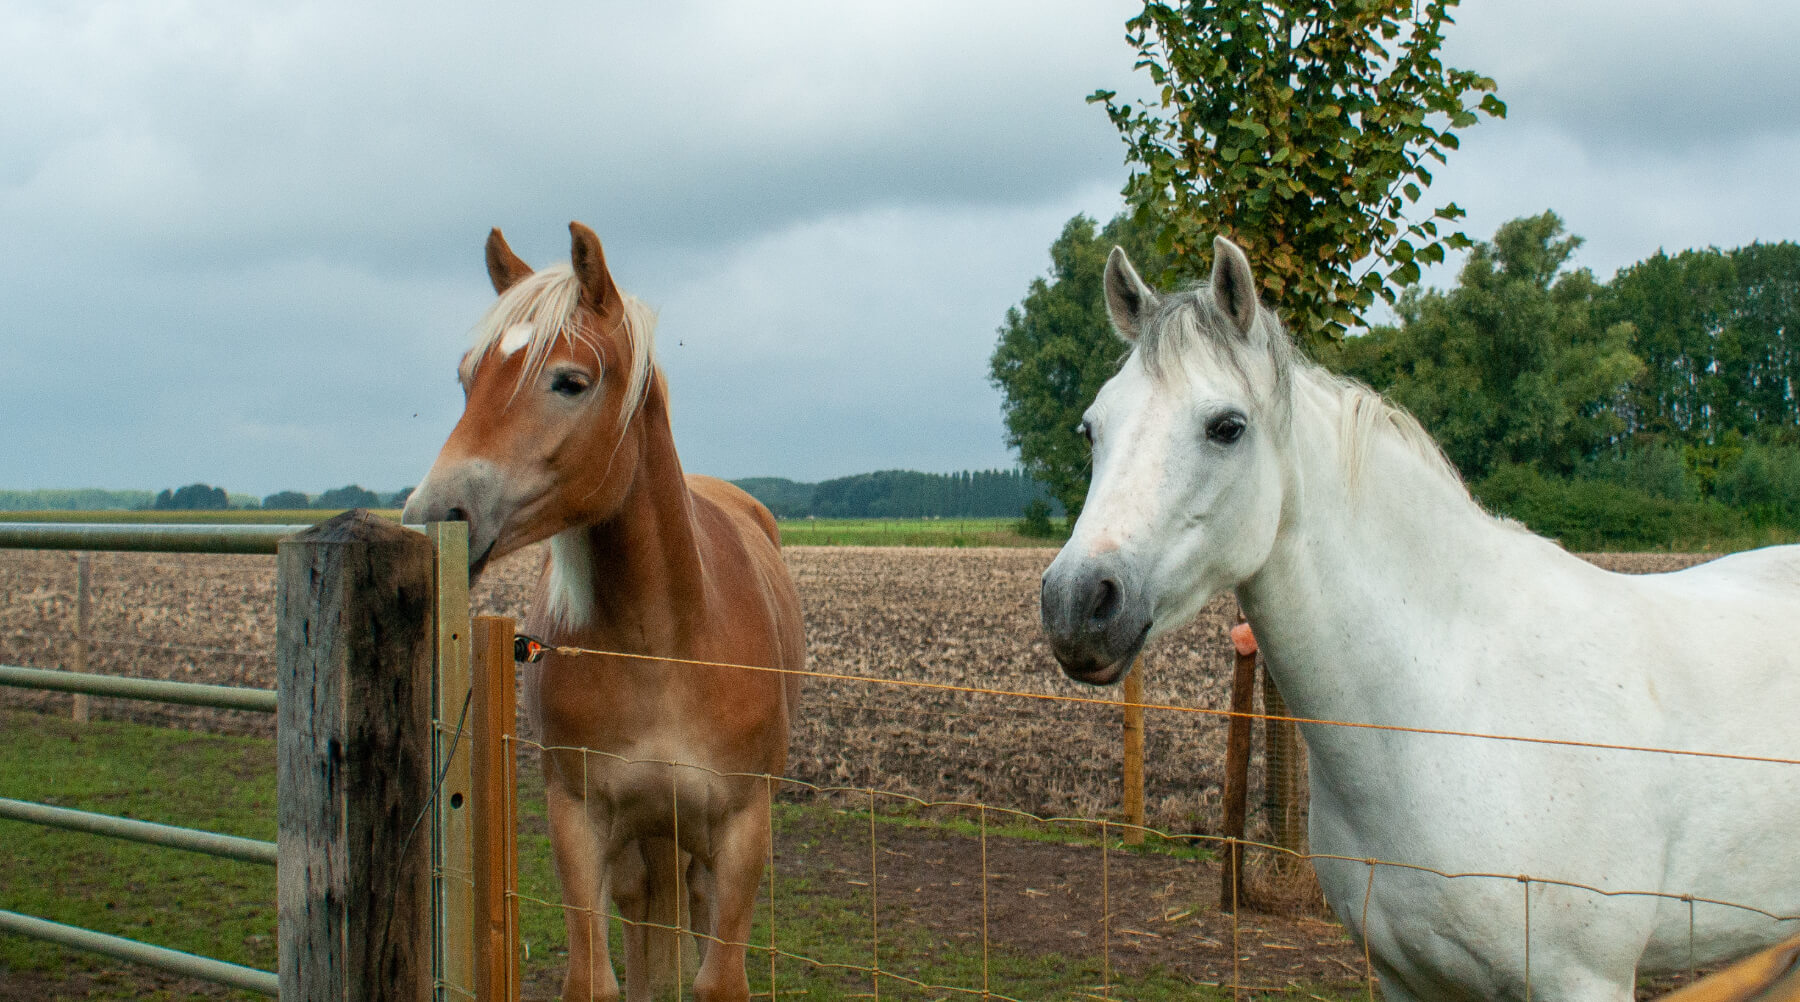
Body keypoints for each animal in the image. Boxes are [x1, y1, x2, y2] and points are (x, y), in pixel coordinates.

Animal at [412, 223, 806, 993]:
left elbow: (717, 979)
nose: (432, 514)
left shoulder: (743, 829)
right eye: (468, 378)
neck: (664, 643)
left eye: (570, 381)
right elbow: (597, 978)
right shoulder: (579, 822)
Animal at [1036, 235, 1800, 1000]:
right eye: (1091, 428)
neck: (1448, 713)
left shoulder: (1585, 979)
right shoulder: (1405, 975)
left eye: (1227, 427)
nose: (1076, 602)